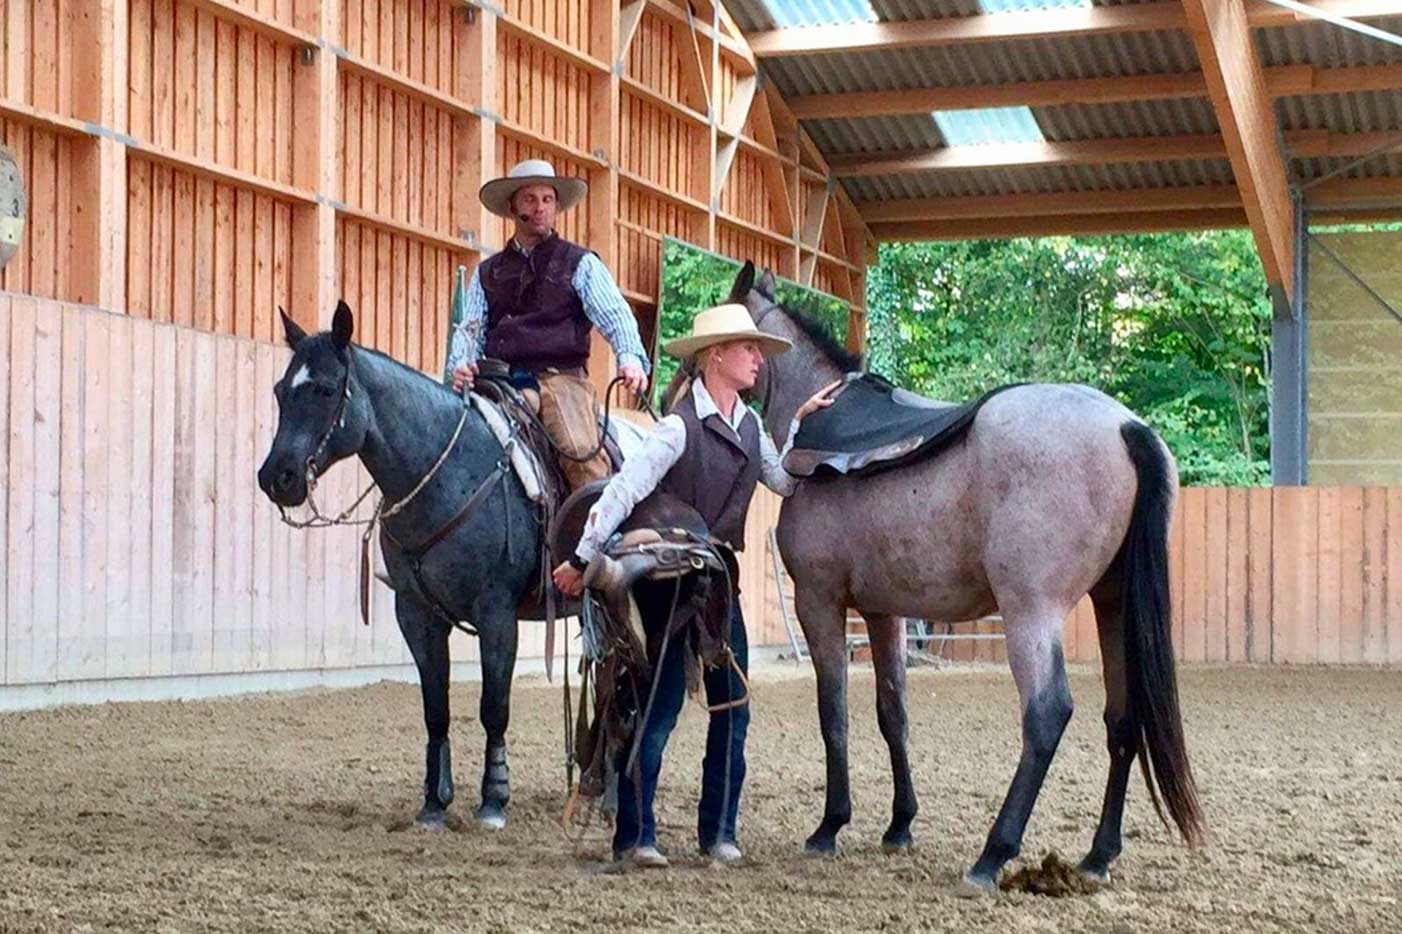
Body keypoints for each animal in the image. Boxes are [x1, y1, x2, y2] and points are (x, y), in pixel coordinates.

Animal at [255, 304, 538, 830]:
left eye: (326, 389)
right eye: (281, 391)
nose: (276, 477)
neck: (449, 474)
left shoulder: (497, 614)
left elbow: (494, 707)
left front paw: (494, 799)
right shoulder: (416, 613)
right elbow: (436, 709)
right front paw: (434, 803)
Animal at [701, 262, 1205, 886]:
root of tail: (1126, 428)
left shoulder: (819, 602)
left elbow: (833, 712)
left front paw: (830, 826)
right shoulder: (883, 611)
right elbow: (892, 713)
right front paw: (899, 825)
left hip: (1031, 612)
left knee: (1047, 714)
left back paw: (993, 855)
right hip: (1111, 605)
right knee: (1122, 717)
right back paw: (1097, 855)